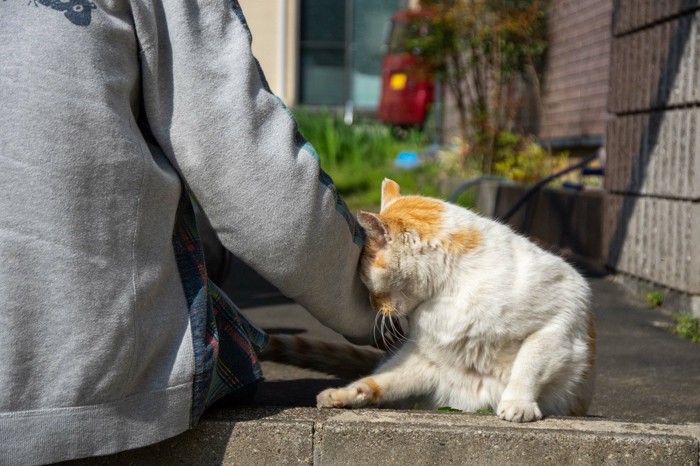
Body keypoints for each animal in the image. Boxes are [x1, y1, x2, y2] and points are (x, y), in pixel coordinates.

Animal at [262, 178, 596, 422]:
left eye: (366, 282)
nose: (372, 305)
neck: (447, 292)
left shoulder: (555, 323)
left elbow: (528, 366)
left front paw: (518, 403)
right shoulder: (427, 359)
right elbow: (382, 381)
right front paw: (348, 393)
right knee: (380, 378)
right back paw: (345, 394)